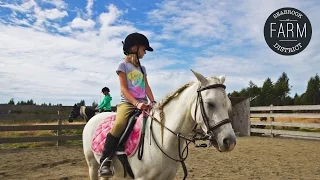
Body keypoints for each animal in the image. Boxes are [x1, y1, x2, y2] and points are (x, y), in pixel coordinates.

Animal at [82, 69, 238, 179]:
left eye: (228, 104)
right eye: (210, 104)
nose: (230, 141)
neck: (163, 139)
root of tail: (95, 117)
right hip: (92, 165)